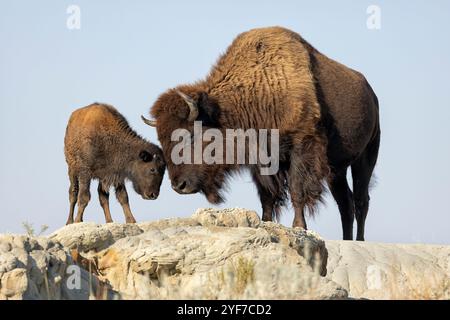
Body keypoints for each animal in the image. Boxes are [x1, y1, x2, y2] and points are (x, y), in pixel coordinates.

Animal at [143, 26, 380, 240]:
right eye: (161, 139)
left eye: (191, 135)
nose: (178, 186)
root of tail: (370, 93)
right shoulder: (261, 160)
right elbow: (268, 197)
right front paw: (266, 223)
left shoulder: (301, 148)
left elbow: (297, 191)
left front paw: (299, 227)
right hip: (336, 171)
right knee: (345, 203)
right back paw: (347, 239)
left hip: (365, 158)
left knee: (361, 200)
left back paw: (359, 240)